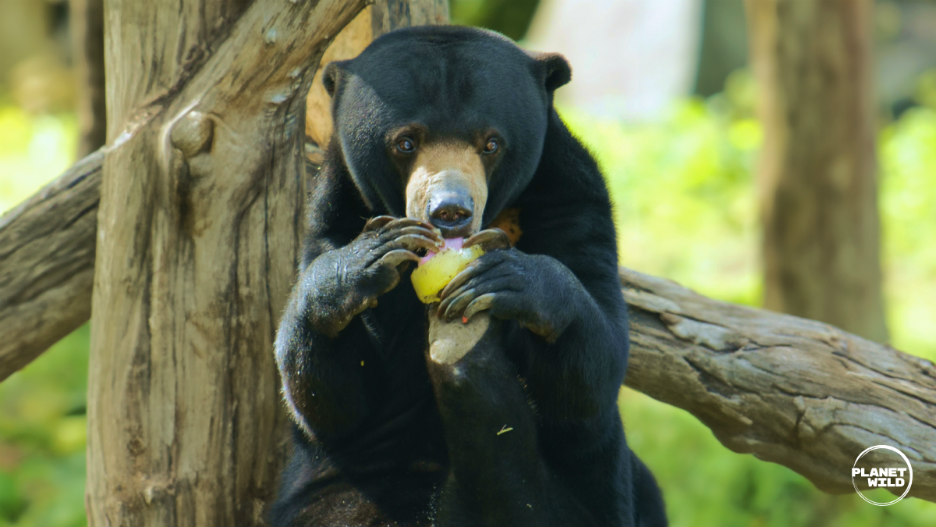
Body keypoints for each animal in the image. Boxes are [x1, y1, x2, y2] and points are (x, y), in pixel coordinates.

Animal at [270, 25, 666, 526]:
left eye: (491, 143)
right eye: (406, 142)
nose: (450, 212)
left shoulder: (574, 206)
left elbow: (593, 376)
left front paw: (505, 279)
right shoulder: (333, 214)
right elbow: (334, 401)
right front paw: (369, 257)